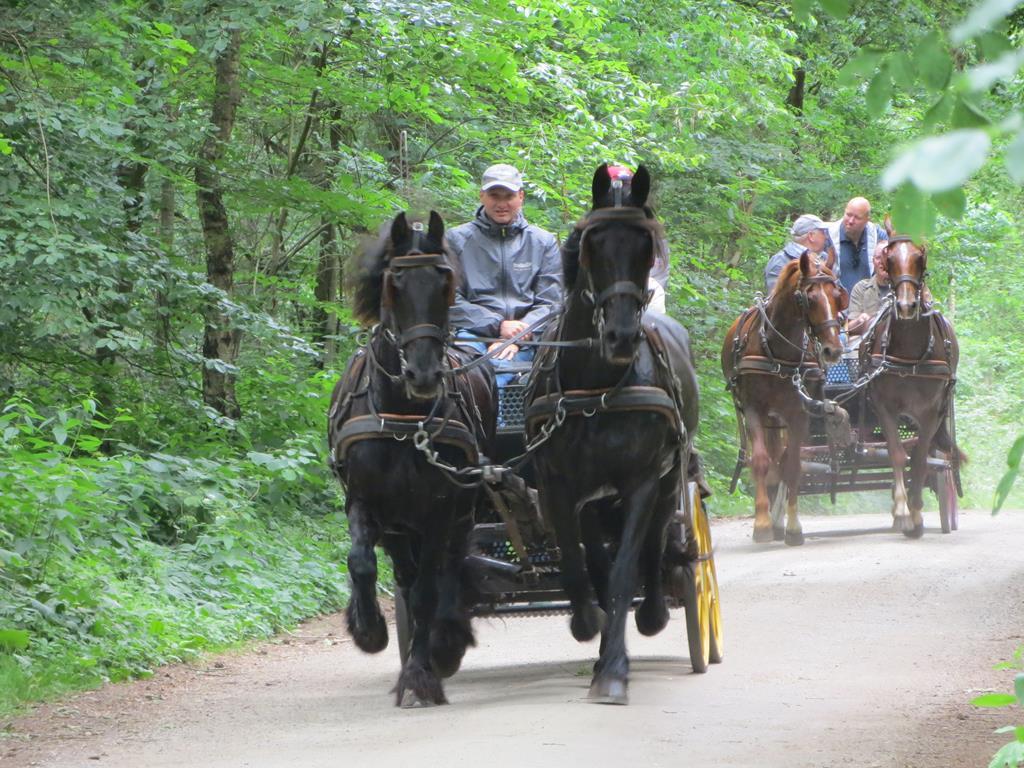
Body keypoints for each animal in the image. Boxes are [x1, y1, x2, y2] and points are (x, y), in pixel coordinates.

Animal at [327, 211, 495, 708]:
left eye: (445, 282)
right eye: (393, 284)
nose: (423, 374)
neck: (405, 417)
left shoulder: (440, 510)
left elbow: (426, 592)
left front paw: (420, 676)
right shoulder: (364, 502)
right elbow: (361, 563)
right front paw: (367, 630)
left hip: (459, 512)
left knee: (447, 572)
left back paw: (446, 642)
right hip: (401, 528)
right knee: (404, 573)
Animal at [524, 165, 700, 708]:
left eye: (648, 248)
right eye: (592, 245)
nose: (621, 336)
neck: (596, 386)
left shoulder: (641, 480)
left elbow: (624, 571)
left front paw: (615, 671)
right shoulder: (560, 486)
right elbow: (581, 568)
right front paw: (589, 627)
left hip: (668, 480)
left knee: (657, 543)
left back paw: (654, 613)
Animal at [720, 256, 847, 544]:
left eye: (837, 296)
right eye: (808, 298)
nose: (833, 350)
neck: (778, 352)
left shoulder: (798, 414)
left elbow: (793, 467)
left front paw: (793, 527)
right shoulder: (754, 410)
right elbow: (761, 461)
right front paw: (762, 524)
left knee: (782, 458)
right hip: (768, 418)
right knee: (771, 459)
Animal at [864, 219, 958, 536]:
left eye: (921, 255)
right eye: (890, 257)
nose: (906, 306)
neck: (907, 351)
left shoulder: (931, 412)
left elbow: (919, 459)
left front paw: (916, 513)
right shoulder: (884, 408)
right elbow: (896, 454)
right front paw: (903, 511)